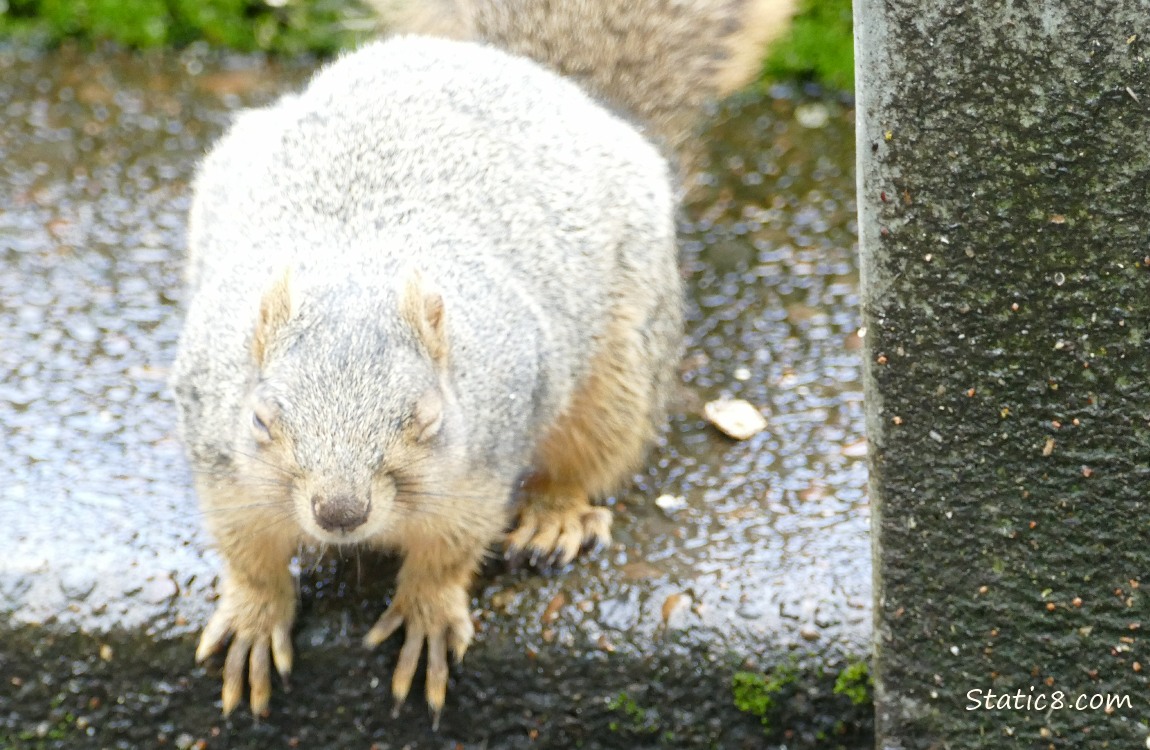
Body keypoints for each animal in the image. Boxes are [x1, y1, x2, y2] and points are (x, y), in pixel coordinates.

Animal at [172, 0, 791, 726]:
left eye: (427, 417)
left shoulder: (479, 469)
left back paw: (556, 517)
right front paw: (253, 615)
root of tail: (532, 74)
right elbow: (248, 553)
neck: (358, 264)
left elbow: (449, 552)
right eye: (262, 419)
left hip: (622, 369)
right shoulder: (222, 466)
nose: (340, 513)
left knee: (591, 457)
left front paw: (427, 613)